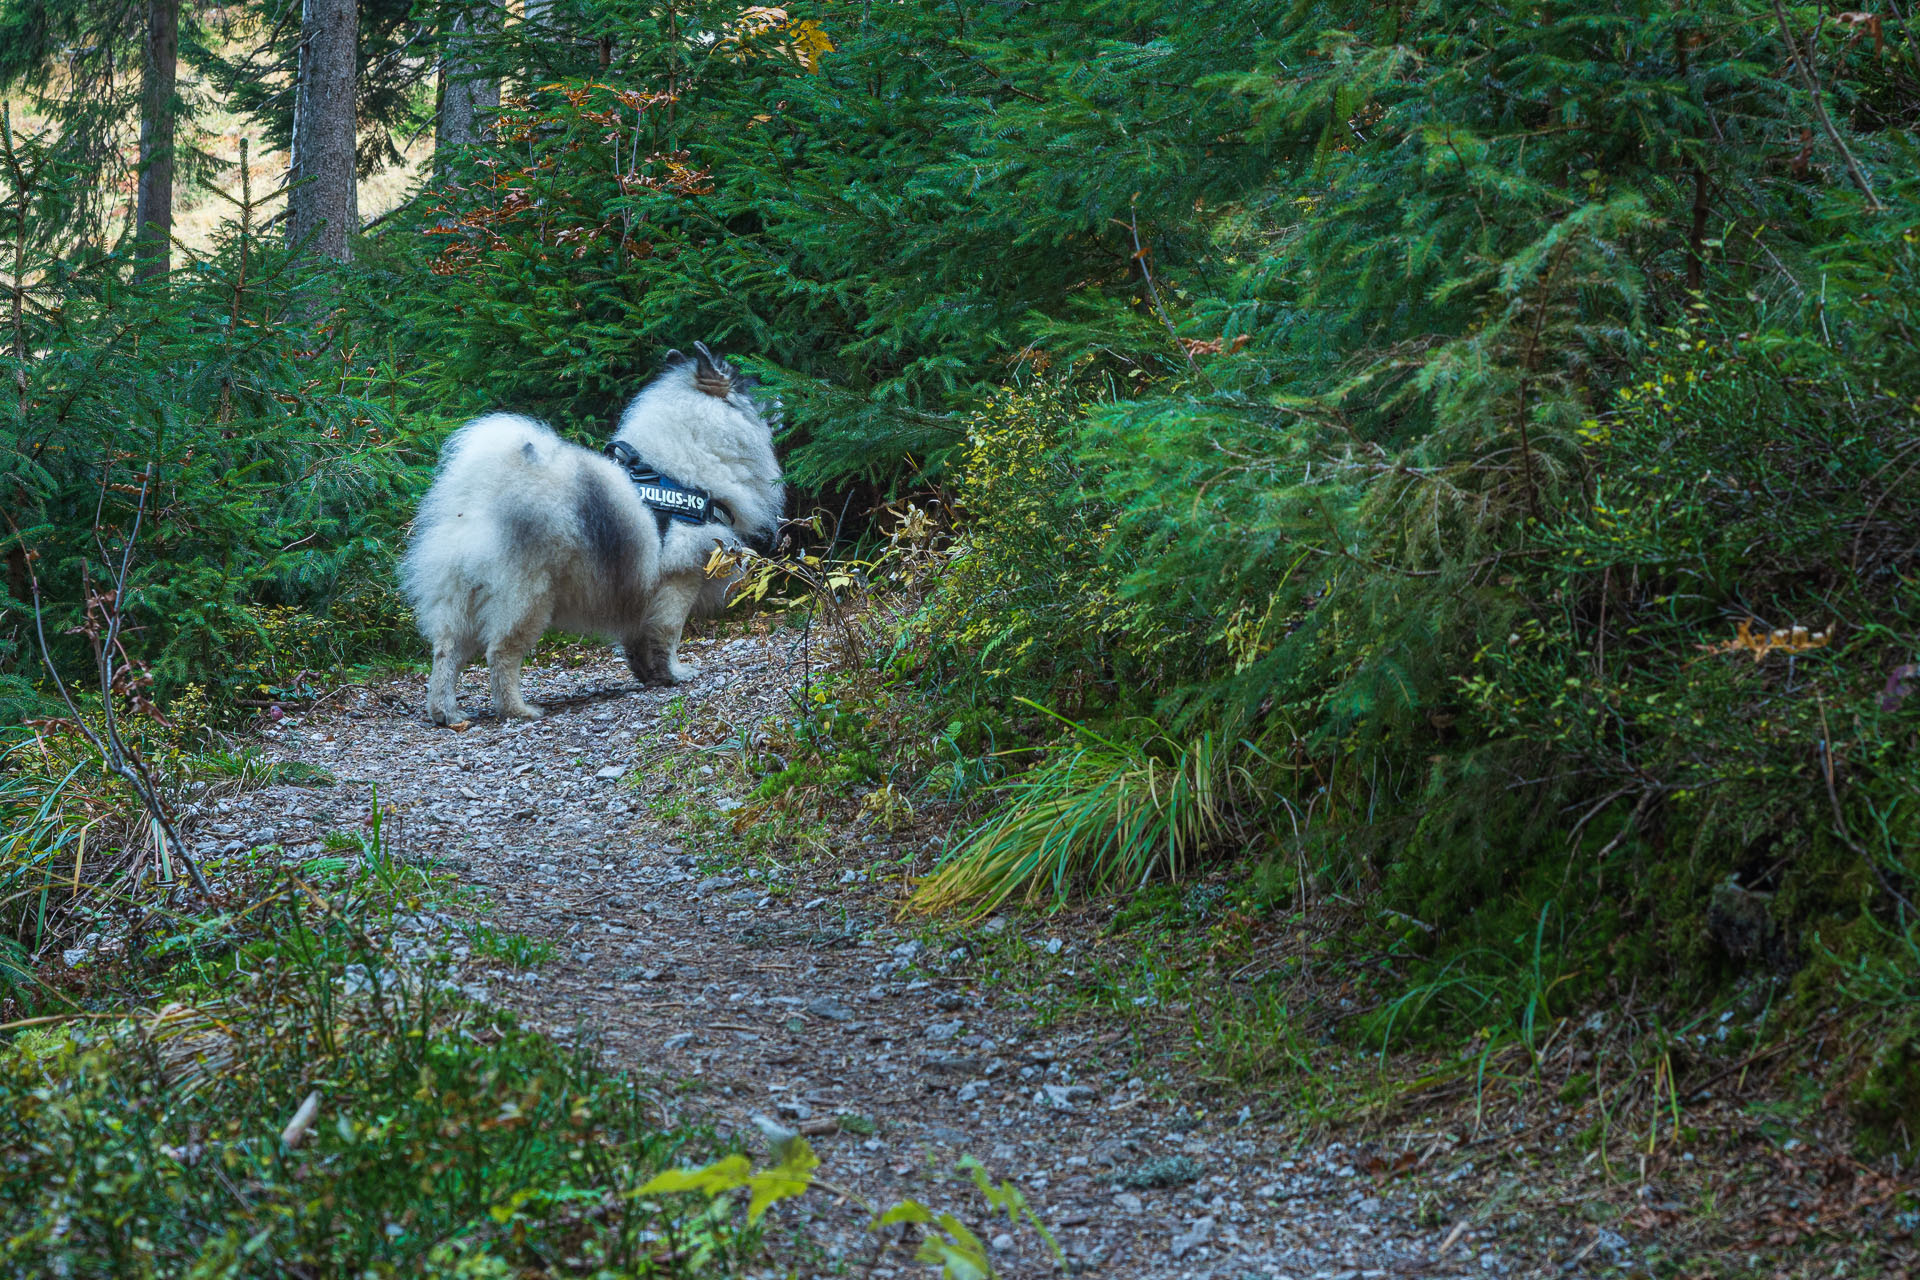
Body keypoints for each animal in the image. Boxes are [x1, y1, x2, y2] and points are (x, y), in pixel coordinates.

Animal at [401, 345, 783, 725]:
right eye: (754, 388)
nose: (781, 397)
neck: (678, 469)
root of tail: (478, 501)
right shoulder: (680, 578)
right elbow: (668, 632)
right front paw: (676, 673)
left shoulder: (639, 591)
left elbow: (639, 640)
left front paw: (651, 676)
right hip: (527, 599)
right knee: (500, 654)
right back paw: (518, 709)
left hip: (458, 599)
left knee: (446, 653)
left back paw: (447, 713)